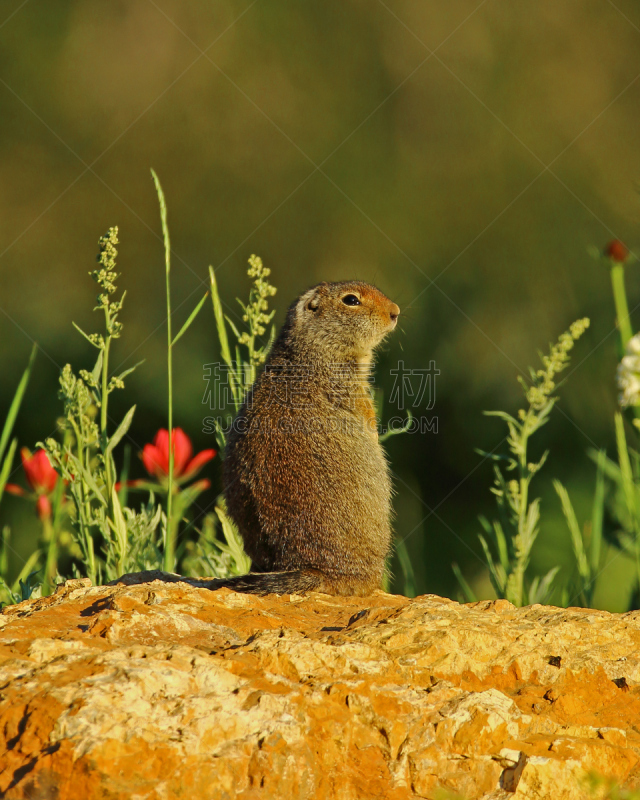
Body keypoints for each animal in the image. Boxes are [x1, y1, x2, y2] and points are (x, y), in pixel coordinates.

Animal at [220, 280, 400, 592]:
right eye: (351, 300)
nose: (396, 312)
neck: (312, 349)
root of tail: (313, 569)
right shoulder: (350, 387)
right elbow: (367, 413)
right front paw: (375, 436)